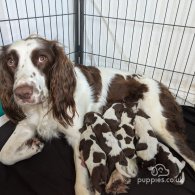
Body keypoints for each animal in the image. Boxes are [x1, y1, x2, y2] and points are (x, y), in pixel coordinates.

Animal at [0, 35, 194, 195]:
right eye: (10, 61)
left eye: (42, 58)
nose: (22, 93)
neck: (46, 105)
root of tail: (162, 86)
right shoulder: (27, 124)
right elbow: (5, 155)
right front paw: (32, 147)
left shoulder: (77, 135)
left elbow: (80, 186)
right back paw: (118, 179)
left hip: (161, 125)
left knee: (190, 155)